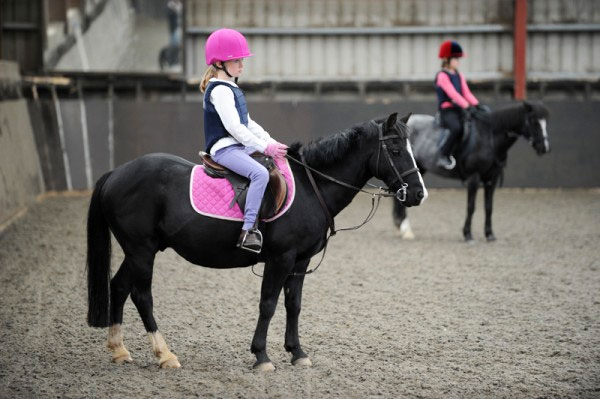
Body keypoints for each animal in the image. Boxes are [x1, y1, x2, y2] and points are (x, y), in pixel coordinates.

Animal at [86, 111, 428, 372]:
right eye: (396, 150)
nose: (418, 193)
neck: (310, 186)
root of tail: (116, 173)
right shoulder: (281, 258)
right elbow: (268, 304)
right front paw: (262, 356)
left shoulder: (299, 261)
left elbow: (293, 305)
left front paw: (297, 353)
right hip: (142, 250)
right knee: (142, 295)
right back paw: (165, 354)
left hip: (138, 251)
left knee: (119, 286)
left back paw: (119, 350)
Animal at [392, 101, 552, 242]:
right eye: (534, 121)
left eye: (546, 122)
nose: (544, 147)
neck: (488, 138)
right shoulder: (473, 178)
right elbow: (471, 206)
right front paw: (468, 234)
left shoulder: (491, 178)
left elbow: (489, 207)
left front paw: (489, 234)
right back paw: (405, 229)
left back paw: (401, 228)